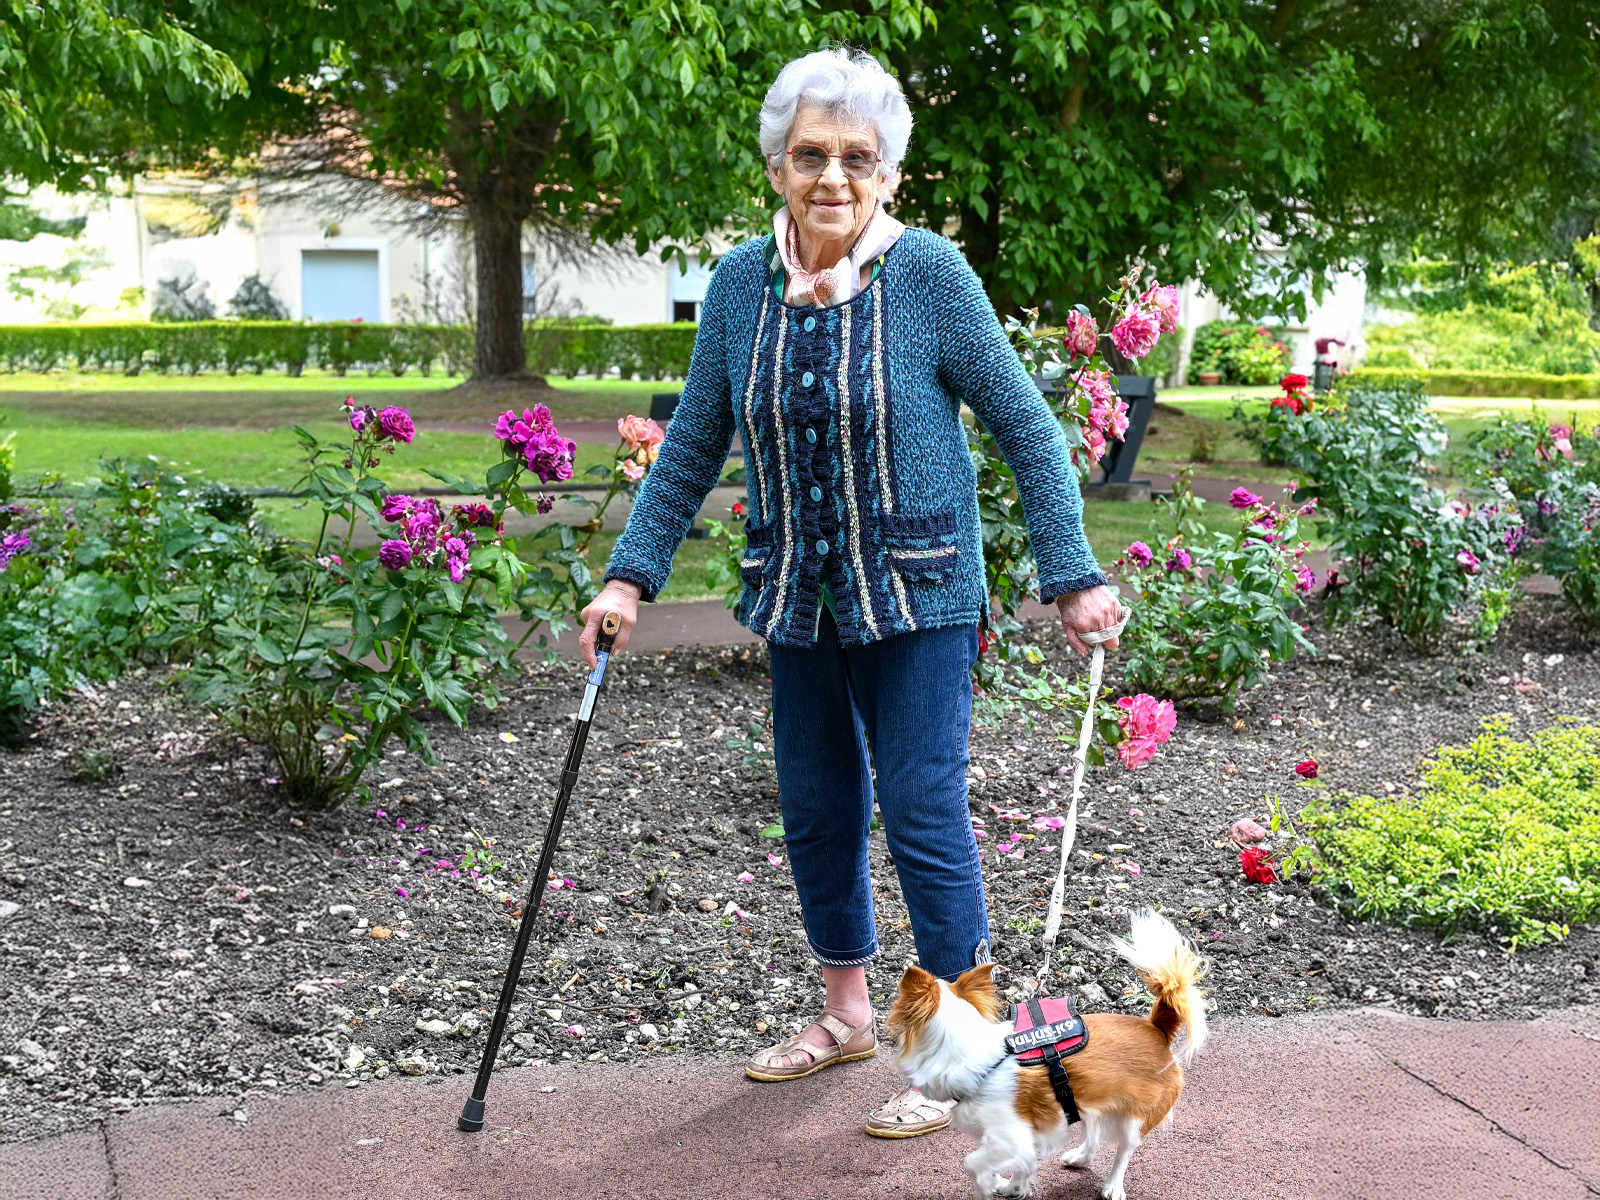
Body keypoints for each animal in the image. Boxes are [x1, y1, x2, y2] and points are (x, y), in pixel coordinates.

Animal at [885, 911, 1207, 1200]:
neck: (984, 1064)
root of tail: (1156, 1029)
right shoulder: (1026, 1138)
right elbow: (1023, 1165)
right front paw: (1012, 1188)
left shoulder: (1007, 1138)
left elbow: (973, 1163)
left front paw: (985, 1188)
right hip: (1086, 1102)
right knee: (1094, 1134)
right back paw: (1079, 1157)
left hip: (1135, 1120)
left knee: (1123, 1151)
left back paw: (1113, 1187)